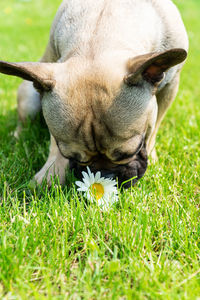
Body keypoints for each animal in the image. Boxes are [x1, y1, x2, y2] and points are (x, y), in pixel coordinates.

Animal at [0, 0, 188, 188]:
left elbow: (154, 129)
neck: (101, 37)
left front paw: (153, 156)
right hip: (28, 98)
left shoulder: (170, 87)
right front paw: (51, 173)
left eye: (128, 153)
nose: (105, 175)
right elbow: (54, 144)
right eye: (72, 156)